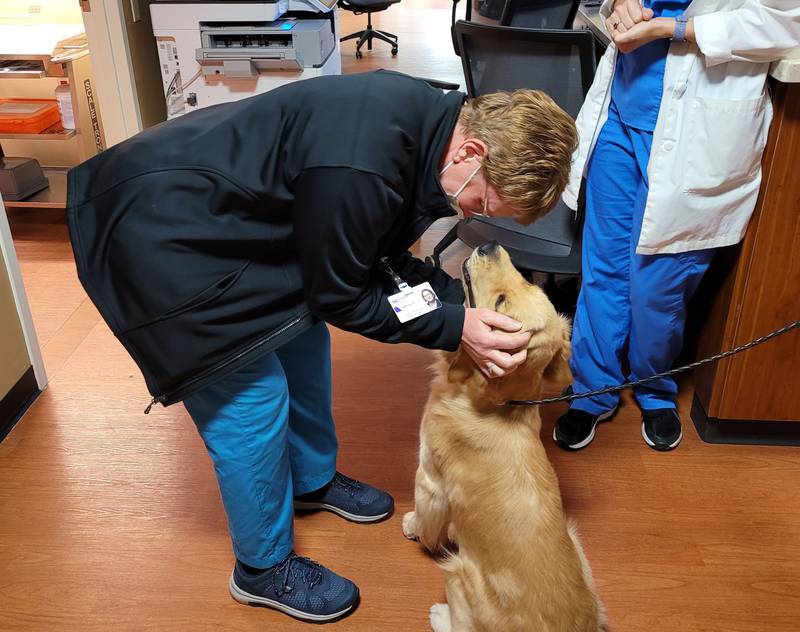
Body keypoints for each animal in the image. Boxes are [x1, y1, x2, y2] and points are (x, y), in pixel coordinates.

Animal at [400, 243, 608, 632]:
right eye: (529, 281)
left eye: (500, 301)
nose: (488, 246)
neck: (495, 404)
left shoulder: (429, 478)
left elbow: (426, 515)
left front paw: (413, 526)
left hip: (458, 573)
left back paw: (439, 614)